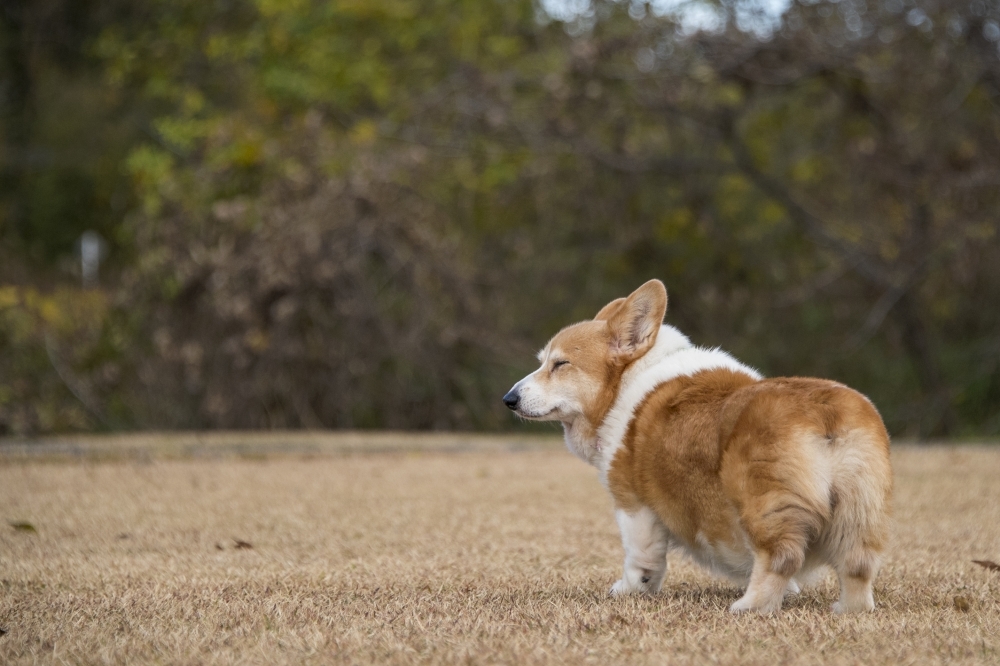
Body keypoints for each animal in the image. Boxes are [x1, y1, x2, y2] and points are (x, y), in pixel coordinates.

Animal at [504, 280, 896, 612]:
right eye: (543, 362)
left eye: (560, 364)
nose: (509, 399)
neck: (627, 381)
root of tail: (825, 412)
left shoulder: (633, 503)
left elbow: (642, 558)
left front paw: (631, 590)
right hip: (861, 508)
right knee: (858, 564)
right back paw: (849, 609)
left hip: (764, 502)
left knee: (782, 556)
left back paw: (750, 606)